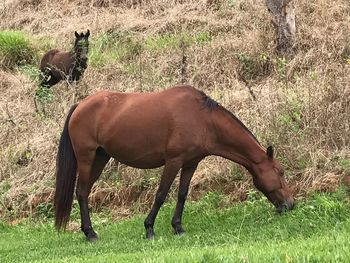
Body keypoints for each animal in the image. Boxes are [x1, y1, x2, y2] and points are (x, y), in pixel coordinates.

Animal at [54, 85, 294, 242]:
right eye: (280, 172)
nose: (290, 205)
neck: (203, 119)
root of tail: (80, 105)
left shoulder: (190, 163)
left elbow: (182, 194)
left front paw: (178, 227)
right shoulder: (173, 161)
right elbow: (161, 194)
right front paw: (149, 229)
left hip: (100, 158)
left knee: (85, 192)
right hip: (86, 158)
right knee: (81, 192)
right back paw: (90, 233)